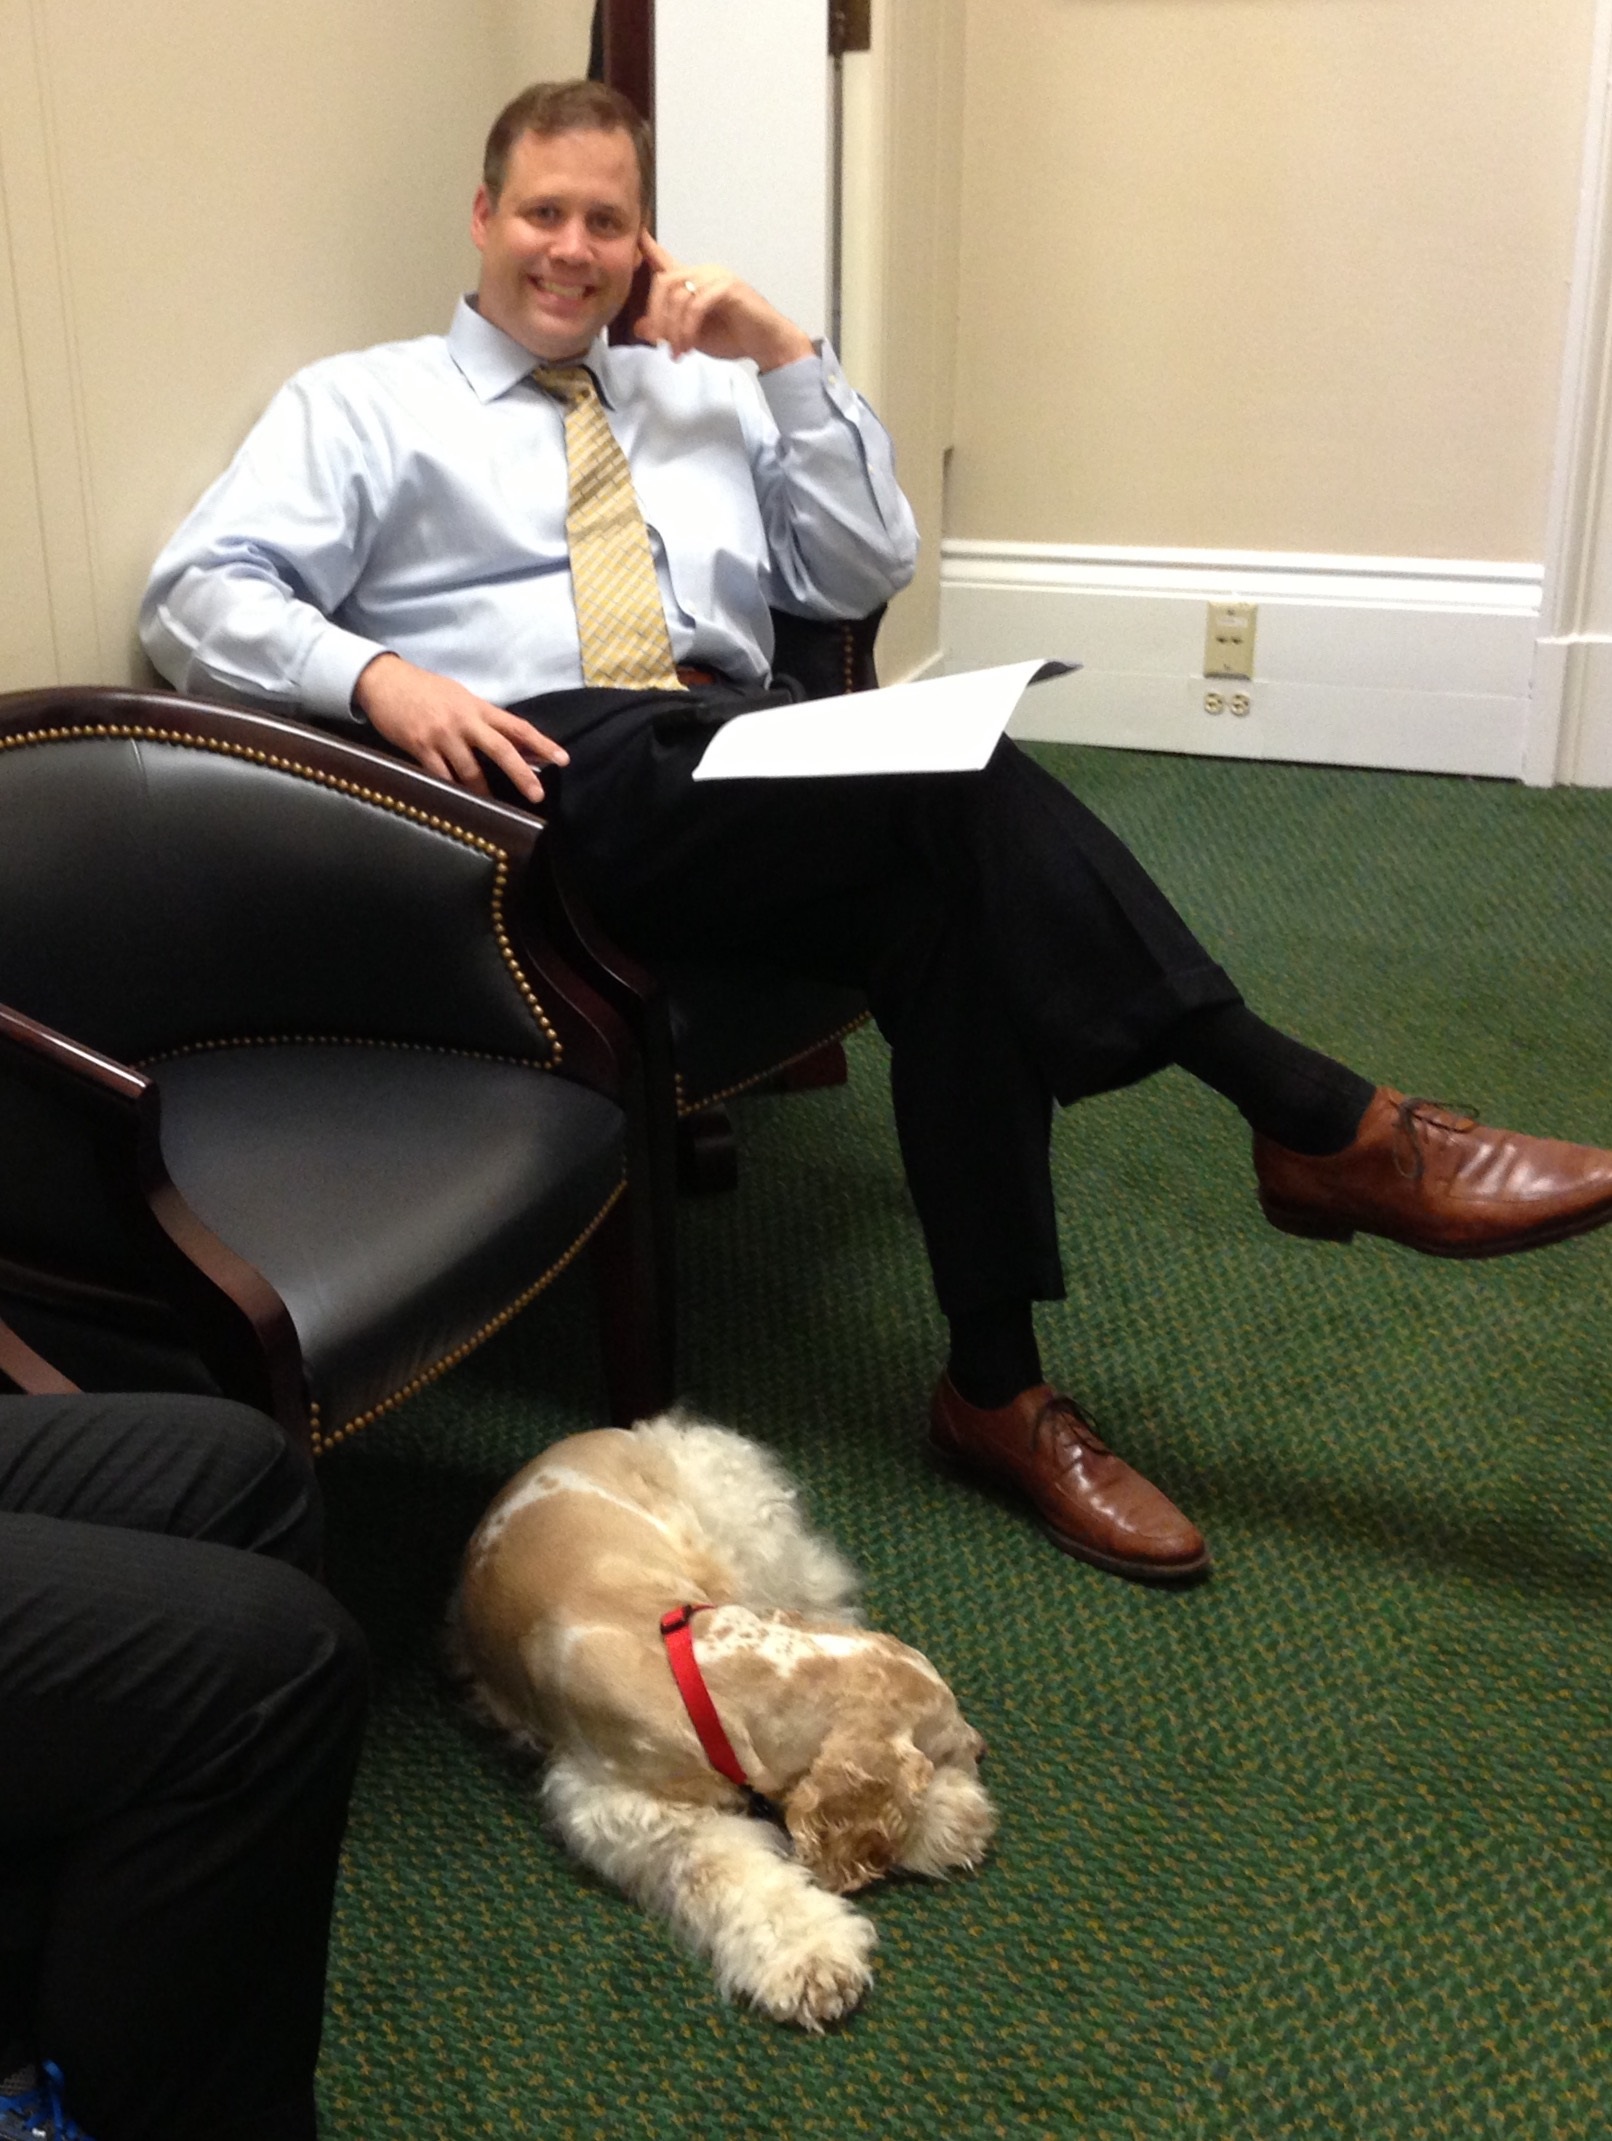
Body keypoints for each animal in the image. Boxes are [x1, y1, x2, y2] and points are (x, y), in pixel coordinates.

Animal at [443, 1413, 993, 2029]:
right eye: (946, 1753)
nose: (983, 1745)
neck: (710, 1673)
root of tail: (619, 1430)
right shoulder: (630, 1810)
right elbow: (729, 1872)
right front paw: (813, 1960)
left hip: (749, 1537)